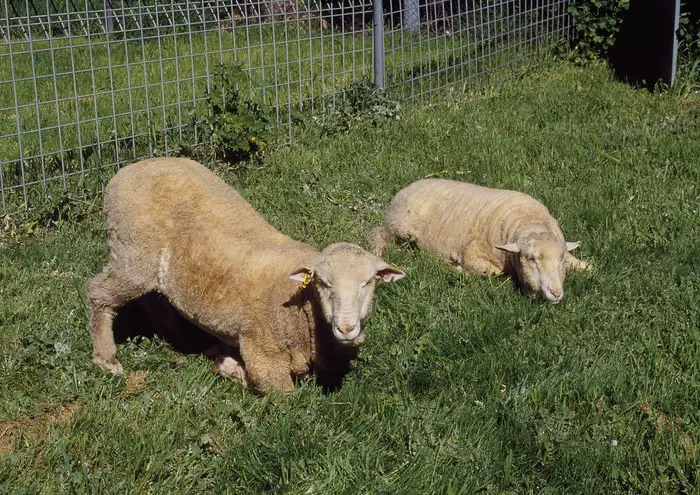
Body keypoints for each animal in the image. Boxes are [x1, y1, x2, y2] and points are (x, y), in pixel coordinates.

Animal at [87, 159, 404, 396]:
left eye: (368, 282)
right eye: (323, 284)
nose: (347, 327)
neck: (303, 311)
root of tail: (126, 170)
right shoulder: (261, 352)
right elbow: (278, 392)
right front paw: (228, 365)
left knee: (153, 297)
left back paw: (174, 334)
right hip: (131, 252)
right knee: (97, 292)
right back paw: (107, 359)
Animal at [370, 178, 592, 302]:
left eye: (561, 258)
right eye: (530, 258)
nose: (555, 292)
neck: (528, 220)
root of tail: (407, 187)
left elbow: (590, 268)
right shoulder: (472, 252)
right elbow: (493, 272)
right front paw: (458, 269)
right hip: (398, 227)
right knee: (377, 235)